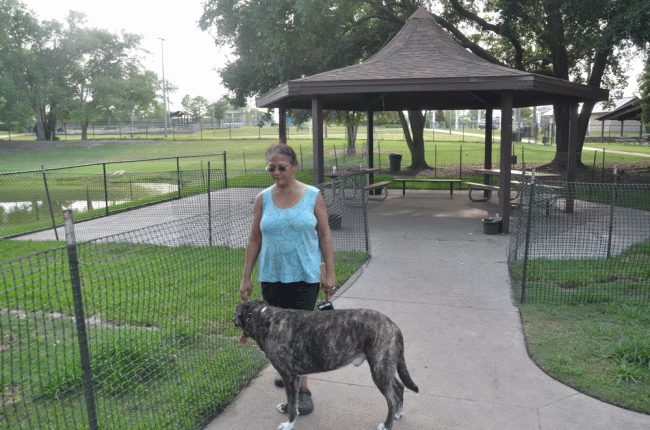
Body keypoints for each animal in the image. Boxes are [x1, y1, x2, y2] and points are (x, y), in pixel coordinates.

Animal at [232, 298, 416, 430]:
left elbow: (292, 401)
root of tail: (393, 325)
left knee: (391, 399)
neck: (262, 318)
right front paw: (287, 408)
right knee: (398, 387)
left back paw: (387, 425)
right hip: (384, 367)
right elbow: (293, 400)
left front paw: (289, 424)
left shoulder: (288, 375)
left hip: (379, 369)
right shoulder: (294, 376)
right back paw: (398, 413)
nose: (232, 317)